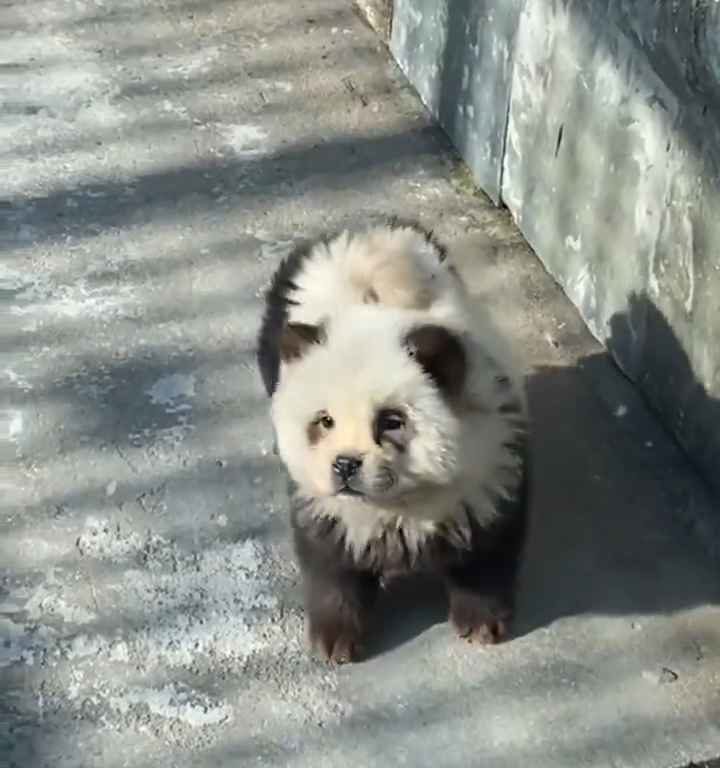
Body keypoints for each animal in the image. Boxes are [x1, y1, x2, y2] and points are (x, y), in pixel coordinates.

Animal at [256, 219, 524, 664]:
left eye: (391, 421)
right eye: (324, 421)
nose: (345, 465)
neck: (399, 505)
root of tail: (362, 237)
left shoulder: (487, 469)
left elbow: (486, 550)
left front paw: (481, 623)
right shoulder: (324, 503)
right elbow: (330, 564)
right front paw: (335, 639)